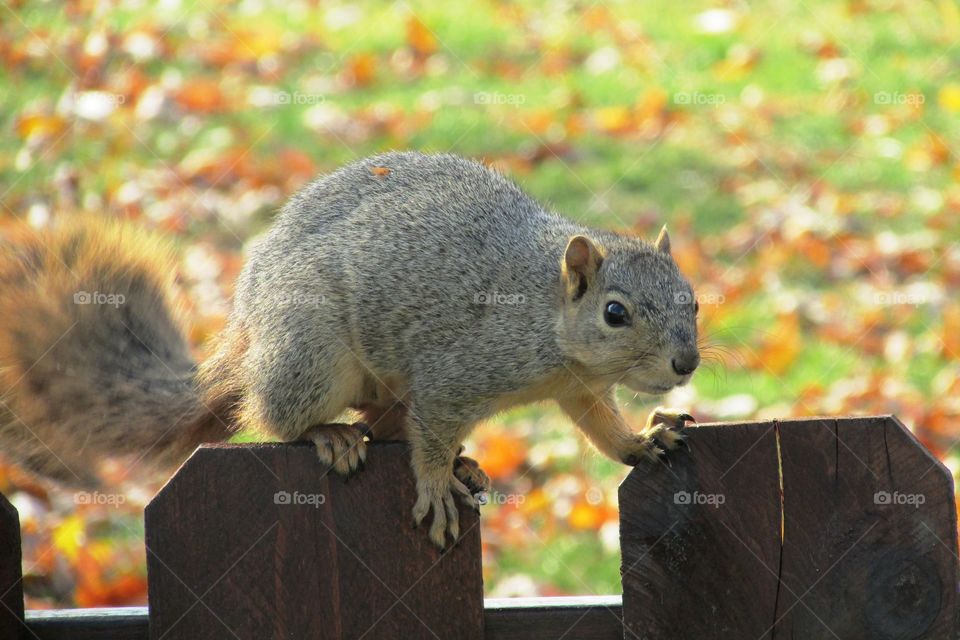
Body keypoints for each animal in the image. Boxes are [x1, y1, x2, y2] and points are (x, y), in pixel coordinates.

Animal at [0, 152, 696, 548]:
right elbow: (432, 434)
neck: (552, 322)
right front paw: (435, 484)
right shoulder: (455, 371)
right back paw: (331, 436)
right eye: (615, 313)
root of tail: (248, 331)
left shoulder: (580, 389)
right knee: (277, 418)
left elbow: (601, 428)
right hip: (310, 353)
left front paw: (641, 440)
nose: (686, 363)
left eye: (693, 299)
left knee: (384, 423)